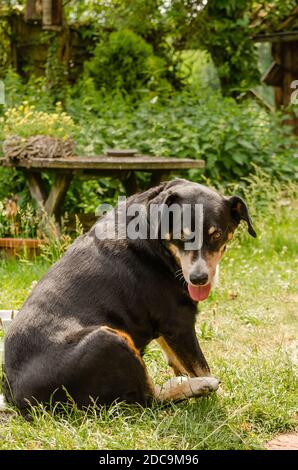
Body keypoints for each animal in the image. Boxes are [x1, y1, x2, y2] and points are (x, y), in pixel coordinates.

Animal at [2, 180, 256, 412]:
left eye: (216, 235)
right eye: (181, 236)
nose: (198, 278)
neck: (154, 239)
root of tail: (14, 395)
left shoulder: (165, 327)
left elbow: (178, 359)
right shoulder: (178, 323)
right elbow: (200, 365)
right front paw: (224, 400)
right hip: (107, 339)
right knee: (149, 399)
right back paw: (202, 385)